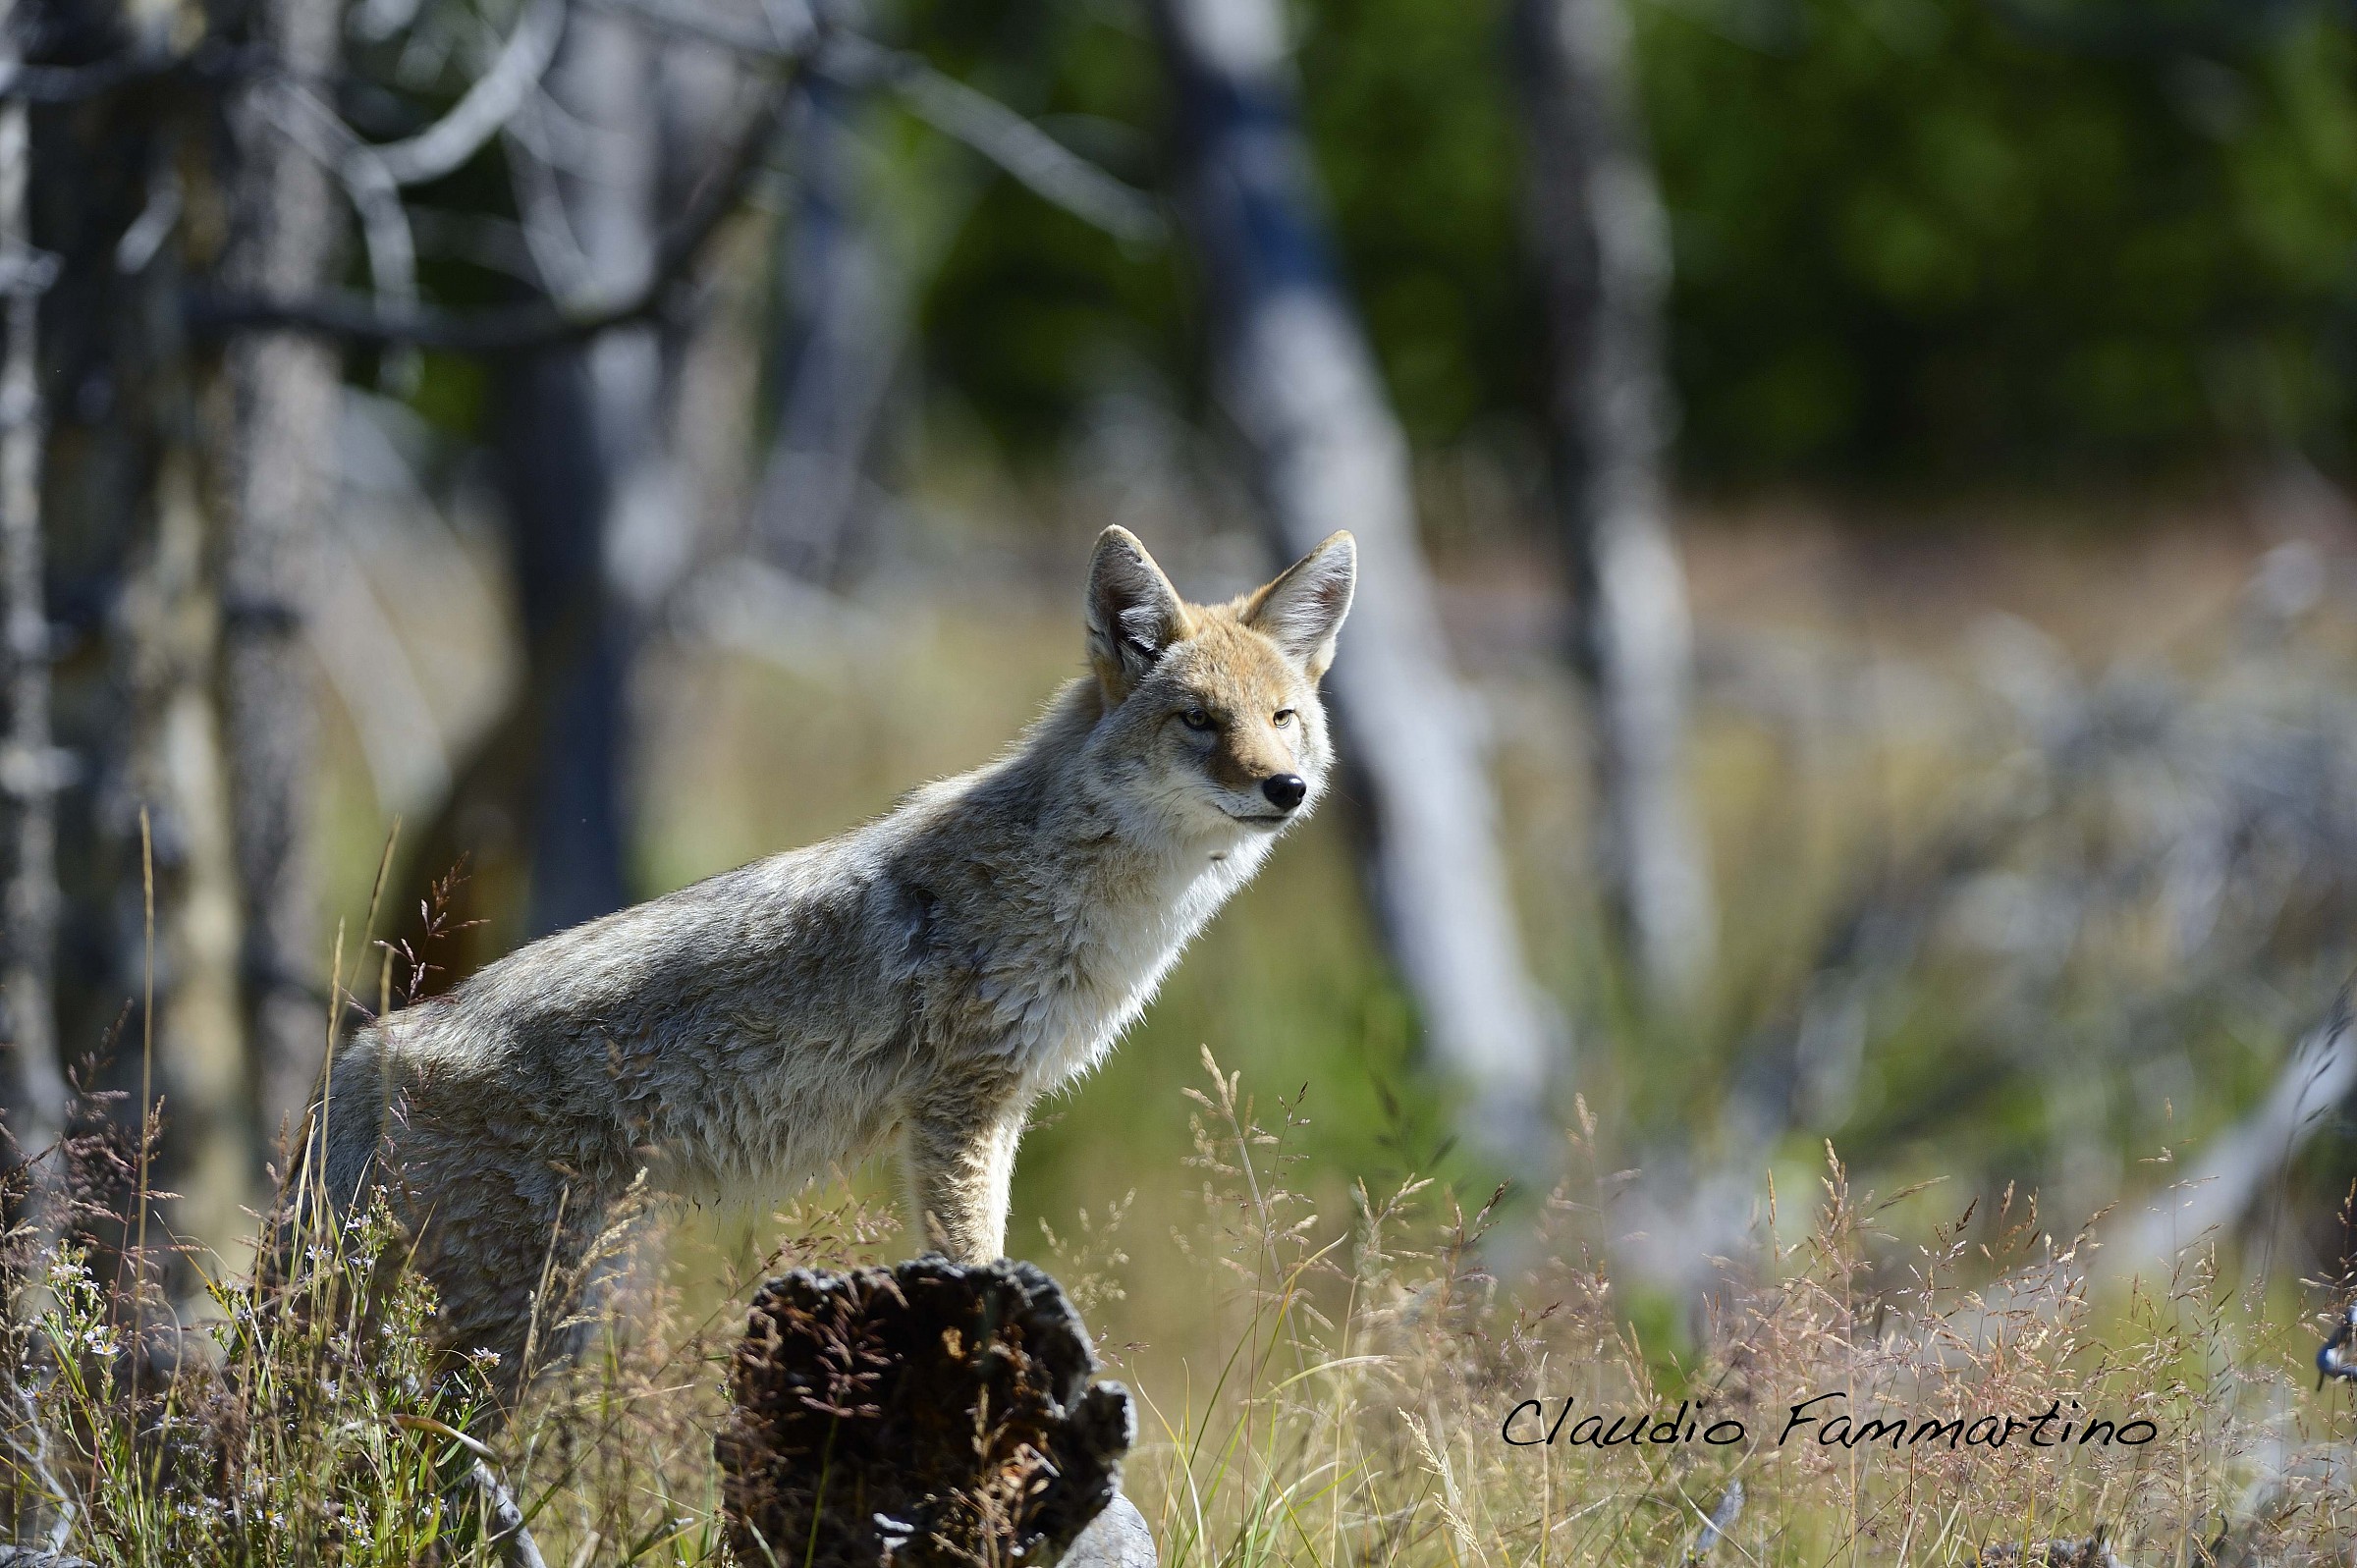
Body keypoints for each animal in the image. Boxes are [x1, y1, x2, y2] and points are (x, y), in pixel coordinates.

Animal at [300, 525, 1356, 1376]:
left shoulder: (994, 1110)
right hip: (517, 1330)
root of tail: (371, 1043)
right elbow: (979, 1265)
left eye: (1282, 719)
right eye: (1199, 721)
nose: (1287, 789)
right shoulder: (961, 1109)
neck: (1087, 885)